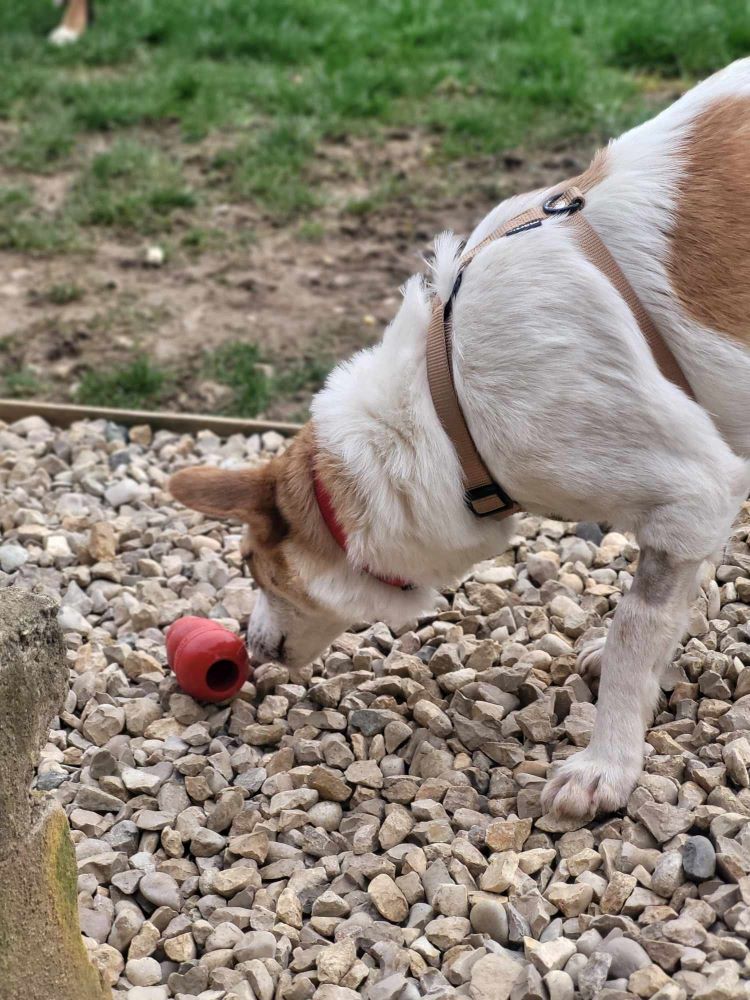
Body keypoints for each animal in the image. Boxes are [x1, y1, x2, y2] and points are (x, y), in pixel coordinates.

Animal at [170, 58, 750, 816]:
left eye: (255, 570)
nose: (253, 650)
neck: (449, 412)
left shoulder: (694, 490)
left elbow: (634, 633)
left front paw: (607, 765)